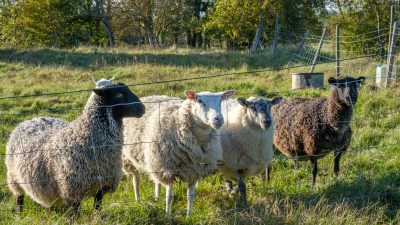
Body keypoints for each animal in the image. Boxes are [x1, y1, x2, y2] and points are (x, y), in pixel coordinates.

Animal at [5, 81, 145, 215]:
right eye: (120, 94)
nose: (142, 108)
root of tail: (30, 120)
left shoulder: (102, 184)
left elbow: (97, 206)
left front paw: (97, 219)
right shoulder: (73, 189)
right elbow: (75, 213)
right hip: (14, 178)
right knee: (19, 198)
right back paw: (18, 214)